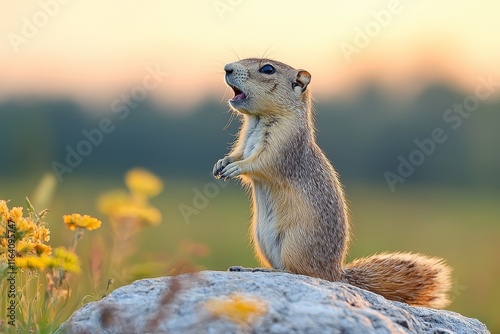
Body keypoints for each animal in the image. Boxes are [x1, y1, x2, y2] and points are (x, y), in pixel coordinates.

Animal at [211, 57, 454, 308]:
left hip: (295, 243)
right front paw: (222, 163)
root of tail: (336, 274)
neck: (258, 120)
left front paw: (236, 168)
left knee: (300, 272)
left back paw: (265, 271)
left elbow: (259, 163)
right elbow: (238, 153)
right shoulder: (244, 142)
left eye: (267, 69)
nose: (227, 67)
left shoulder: (282, 145)